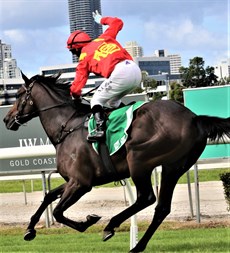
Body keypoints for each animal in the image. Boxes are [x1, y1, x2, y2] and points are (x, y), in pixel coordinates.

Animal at [3, 72, 230, 252]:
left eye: (18, 94)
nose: (6, 119)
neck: (66, 127)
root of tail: (194, 118)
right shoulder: (73, 180)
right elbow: (48, 196)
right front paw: (29, 229)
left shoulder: (81, 183)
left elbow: (58, 212)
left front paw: (89, 221)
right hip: (173, 167)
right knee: (162, 207)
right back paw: (137, 247)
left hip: (138, 159)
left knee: (146, 197)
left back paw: (111, 226)